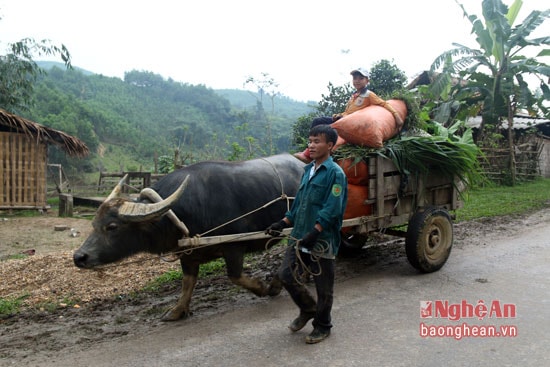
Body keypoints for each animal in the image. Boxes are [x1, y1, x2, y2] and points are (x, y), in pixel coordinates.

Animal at [73, 154, 304, 320]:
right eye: (94, 224)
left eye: (112, 226)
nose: (79, 257)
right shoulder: (188, 253)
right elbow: (187, 282)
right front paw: (176, 311)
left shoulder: (234, 247)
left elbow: (235, 276)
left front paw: (266, 287)